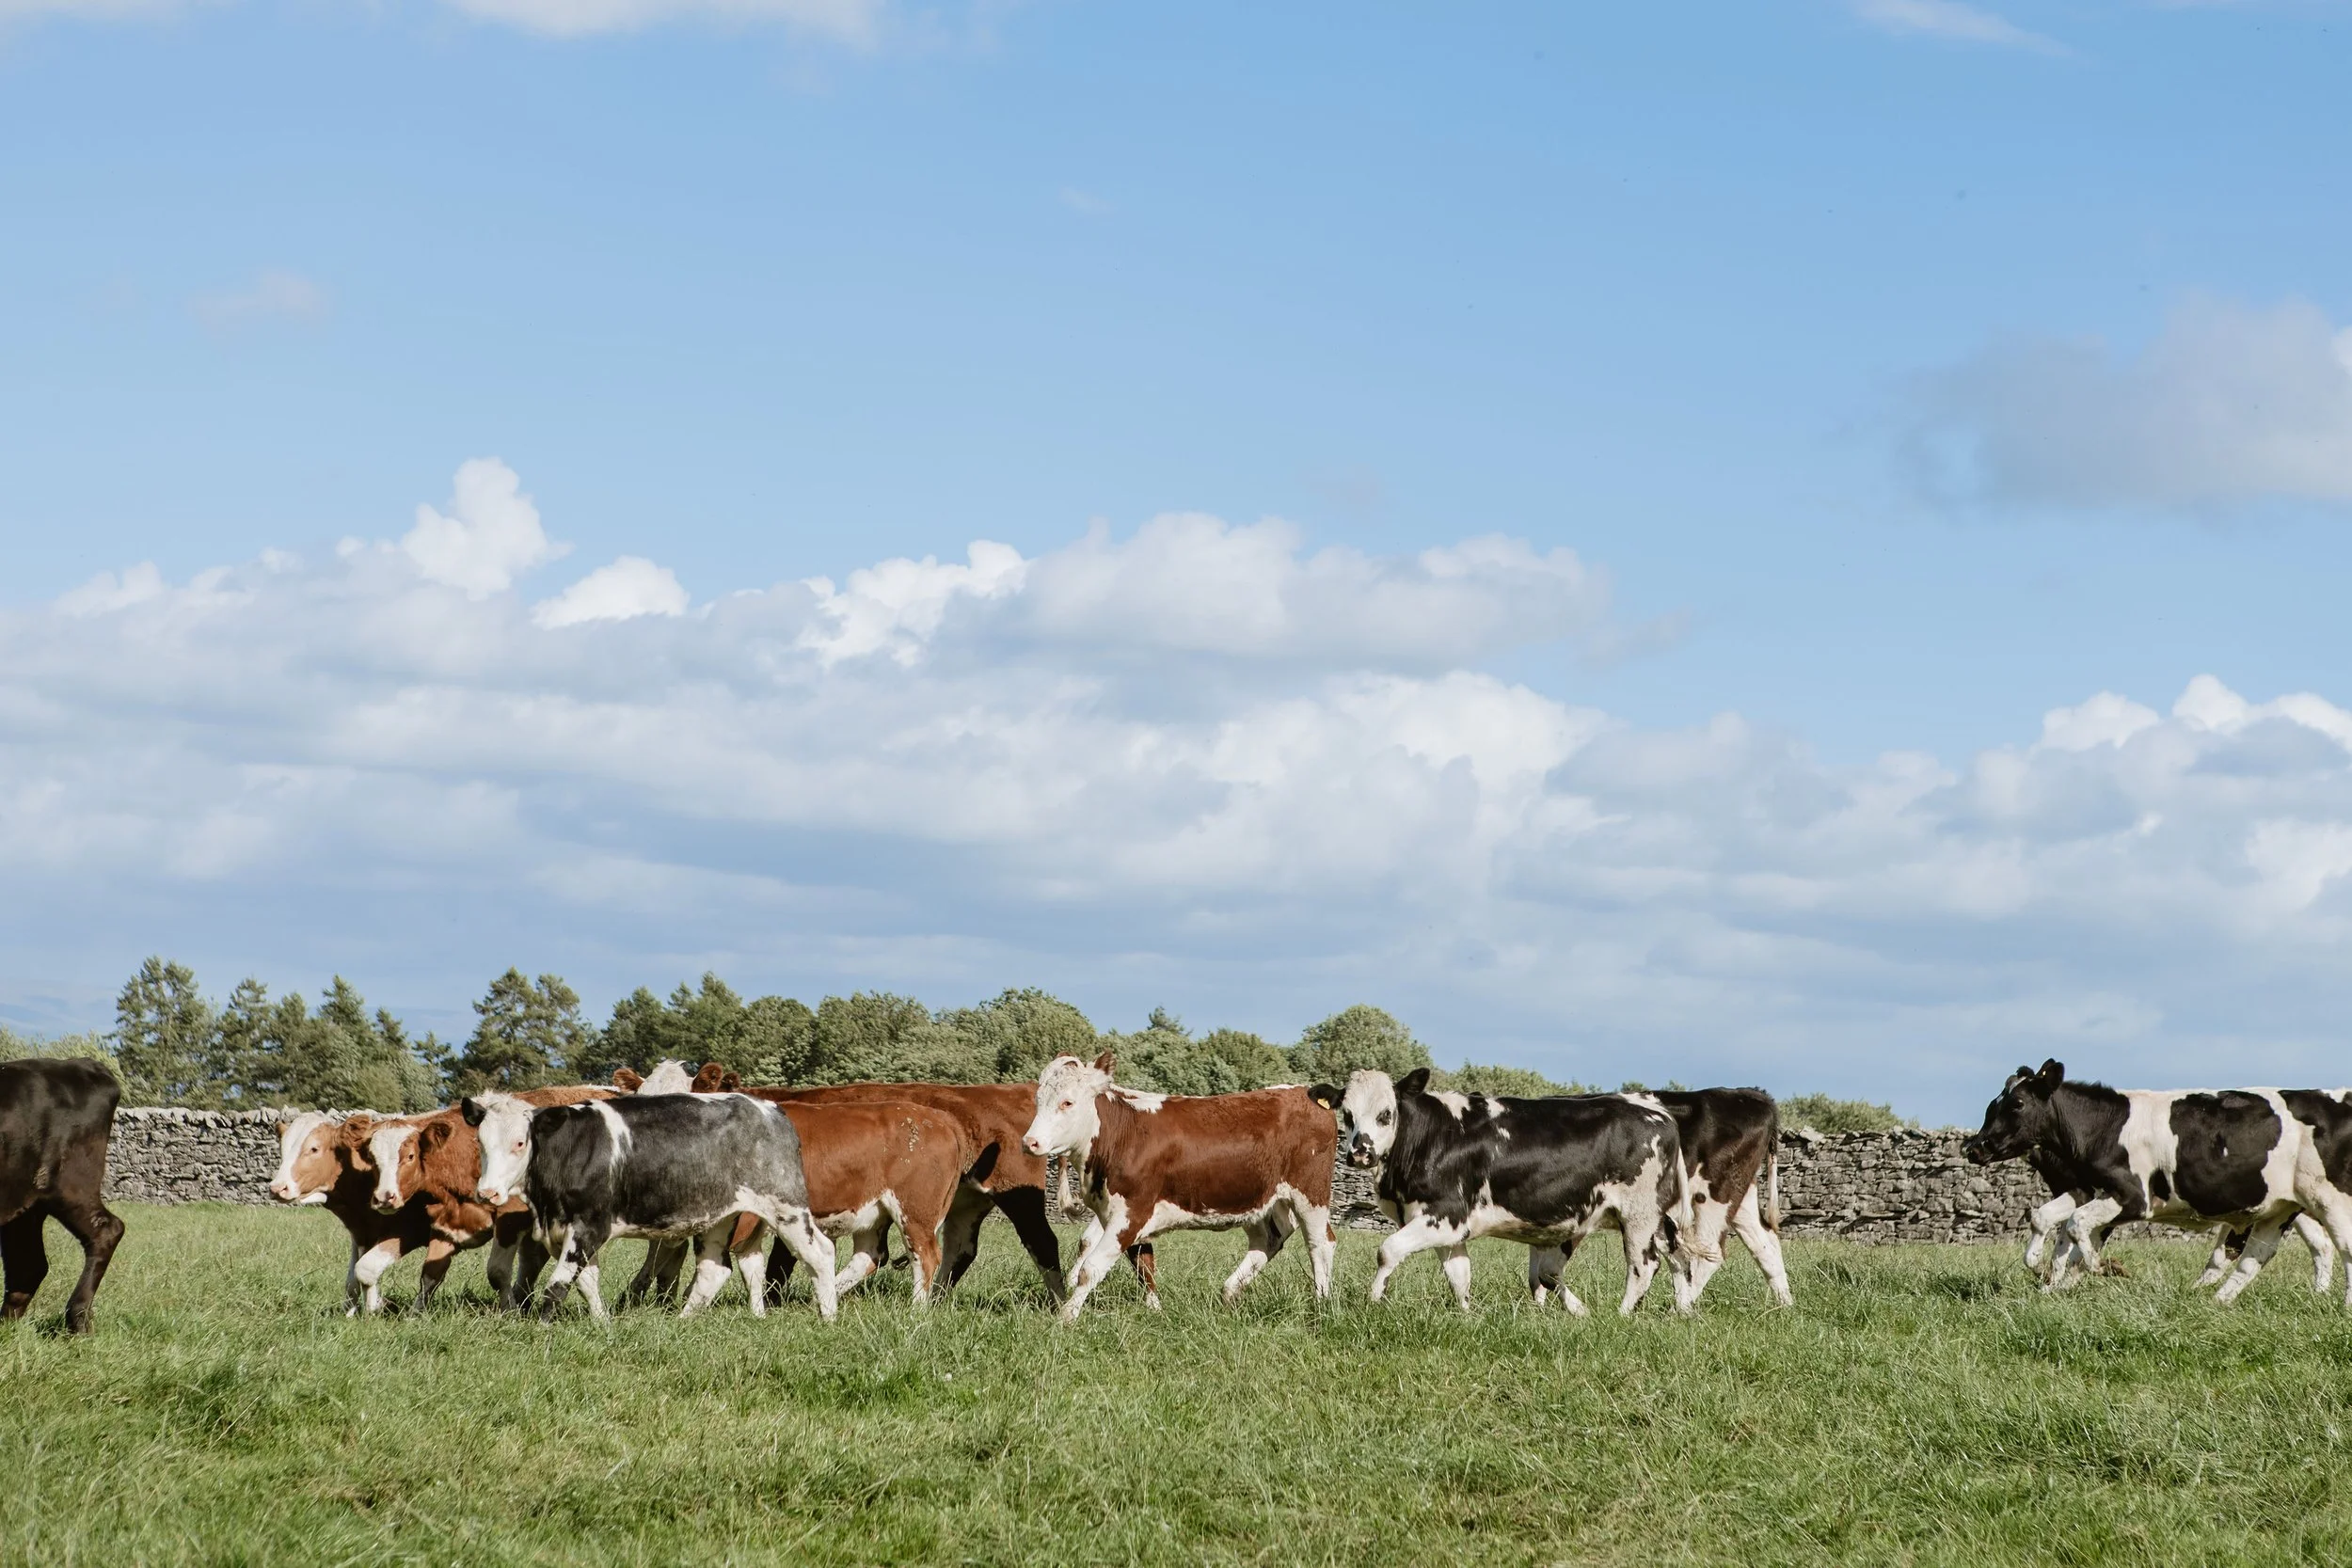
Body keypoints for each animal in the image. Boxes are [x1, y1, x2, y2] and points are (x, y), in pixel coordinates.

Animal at [463, 1089, 838, 1321]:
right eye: (480, 1142)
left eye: (520, 1142)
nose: (487, 1193)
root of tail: (772, 1109)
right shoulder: (568, 1231)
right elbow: (586, 1282)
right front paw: (603, 1323)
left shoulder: (589, 1226)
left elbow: (557, 1286)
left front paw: (543, 1329)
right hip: (719, 1217)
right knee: (715, 1268)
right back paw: (683, 1320)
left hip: (786, 1207)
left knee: (821, 1252)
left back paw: (828, 1316)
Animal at [1020, 1052, 1337, 1323]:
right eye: (1038, 1099)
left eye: (1067, 1102)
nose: (1029, 1142)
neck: (1122, 1134)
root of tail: (1303, 1091)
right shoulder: (1121, 1213)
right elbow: (1141, 1263)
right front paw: (1155, 1310)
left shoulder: (1133, 1211)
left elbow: (1092, 1268)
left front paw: (1066, 1318)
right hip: (1259, 1199)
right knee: (1269, 1239)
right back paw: (1230, 1292)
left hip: (1311, 1194)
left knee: (1320, 1243)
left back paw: (1321, 1304)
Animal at [1329, 1068, 1705, 1316]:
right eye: (1346, 1114)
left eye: (1385, 1114)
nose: (1360, 1152)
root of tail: (1657, 1112)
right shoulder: (1447, 1228)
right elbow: (1459, 1276)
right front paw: (1466, 1317)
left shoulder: (1444, 1215)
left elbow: (1387, 1250)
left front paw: (1375, 1298)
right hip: (1659, 1218)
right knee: (1678, 1257)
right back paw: (1682, 1311)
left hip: (1639, 1214)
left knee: (1644, 1265)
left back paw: (1622, 1315)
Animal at [1961, 1060, 2352, 1304]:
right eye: (1993, 1103)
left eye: (2017, 1103)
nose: (1973, 1147)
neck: (2105, 1126)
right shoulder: (2091, 1191)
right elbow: (2055, 1225)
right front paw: (2050, 1281)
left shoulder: (2133, 1197)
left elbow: (2074, 1227)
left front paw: (2100, 1268)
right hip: (2281, 1206)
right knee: (2255, 1255)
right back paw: (2213, 1302)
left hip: (2329, 1198)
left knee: (2340, 1247)